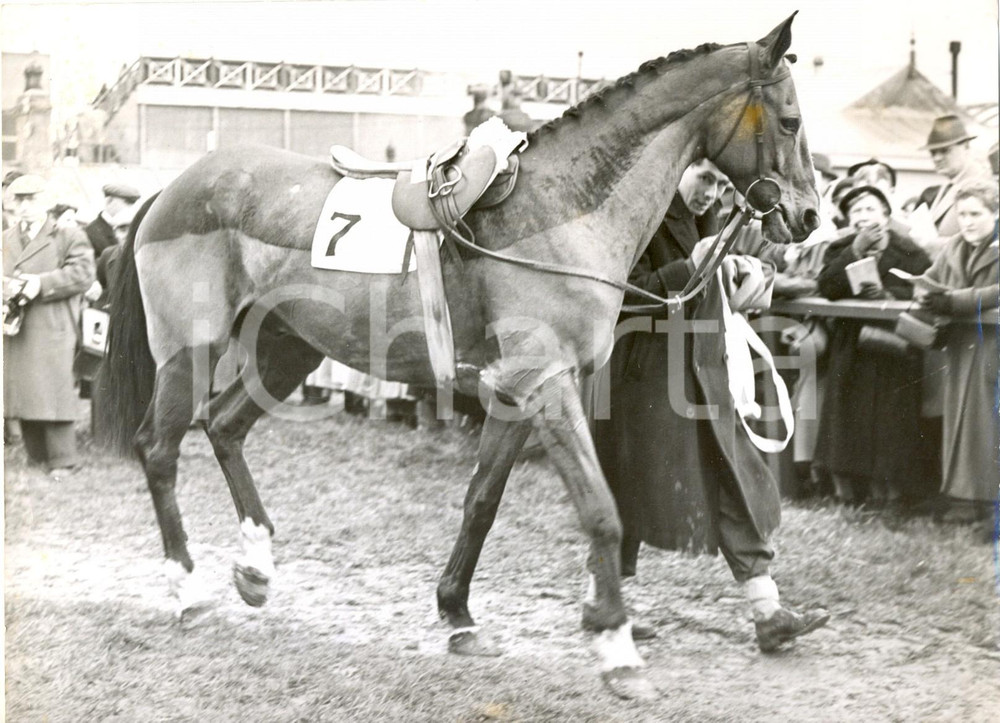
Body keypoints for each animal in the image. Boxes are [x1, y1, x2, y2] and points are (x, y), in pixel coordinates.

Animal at [101, 14, 819, 700]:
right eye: (790, 120)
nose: (809, 216)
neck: (563, 209)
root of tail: (172, 189)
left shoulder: (514, 393)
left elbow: (482, 499)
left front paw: (458, 612)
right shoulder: (547, 383)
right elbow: (600, 511)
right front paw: (616, 646)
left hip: (286, 348)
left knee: (224, 425)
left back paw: (254, 565)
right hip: (191, 350)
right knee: (159, 448)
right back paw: (188, 589)